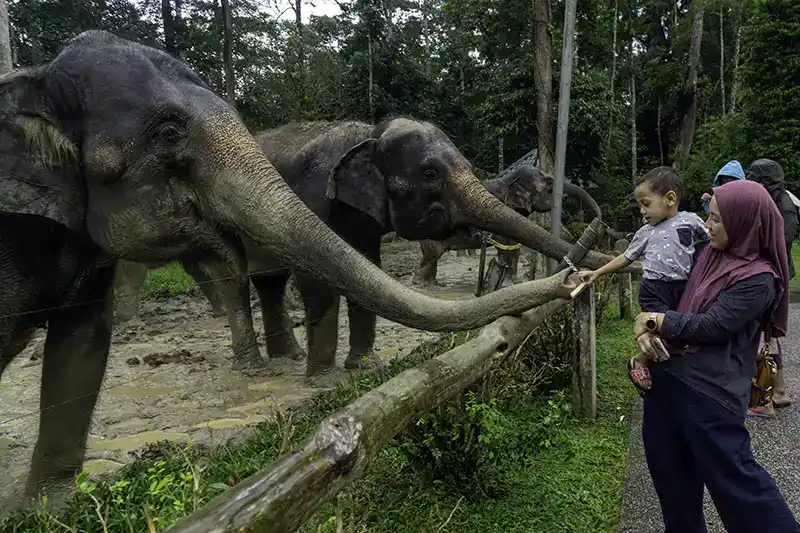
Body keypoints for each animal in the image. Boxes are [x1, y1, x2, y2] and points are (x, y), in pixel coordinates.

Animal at [411, 166, 603, 287]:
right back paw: (422, 285)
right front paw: (510, 281)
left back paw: (432, 284)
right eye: (549, 183)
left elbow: (513, 245)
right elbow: (504, 243)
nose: (599, 221)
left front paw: (513, 281)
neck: (509, 180)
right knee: (432, 254)